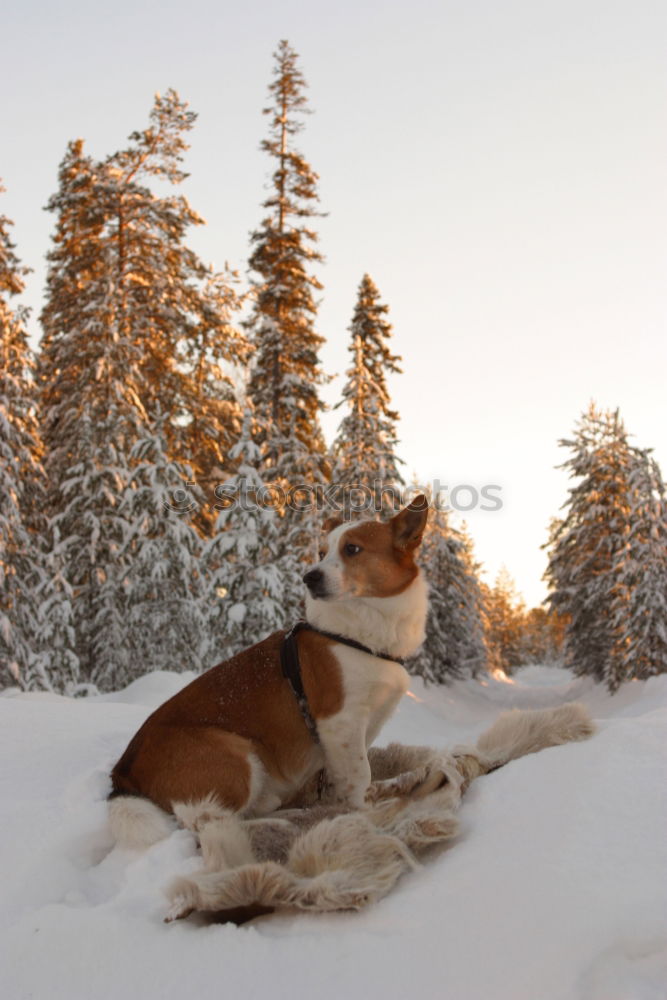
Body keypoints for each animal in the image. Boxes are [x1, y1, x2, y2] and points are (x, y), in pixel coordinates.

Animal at [107, 496, 430, 848]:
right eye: (321, 552)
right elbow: (360, 775)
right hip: (237, 754)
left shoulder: (366, 724)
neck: (360, 633)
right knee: (210, 825)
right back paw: (280, 824)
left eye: (352, 549)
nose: (308, 577)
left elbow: (344, 777)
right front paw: (365, 816)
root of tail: (123, 769)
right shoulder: (340, 720)